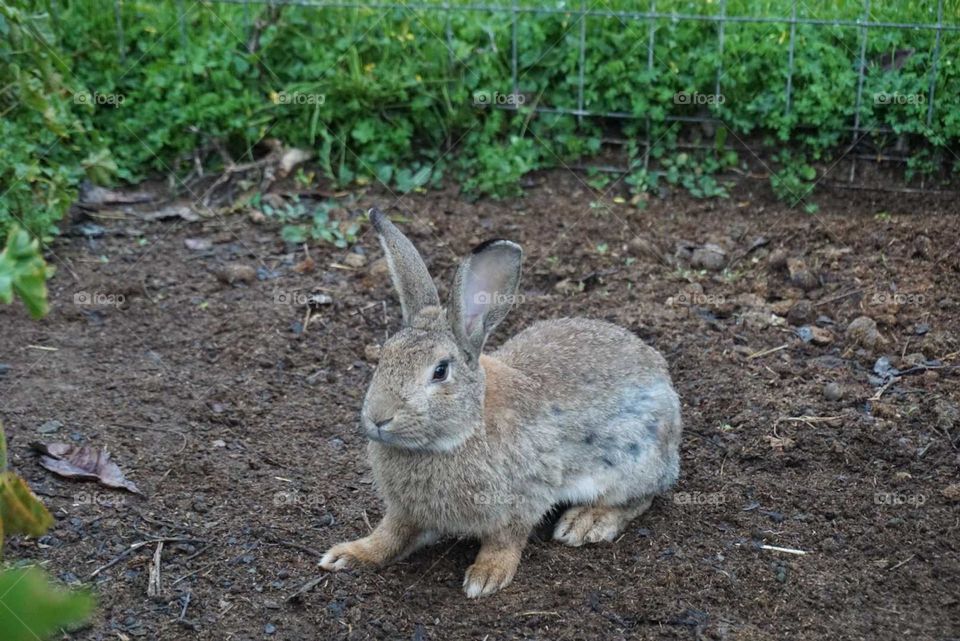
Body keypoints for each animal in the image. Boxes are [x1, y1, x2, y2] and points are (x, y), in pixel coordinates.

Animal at [322, 208, 684, 596]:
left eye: (440, 371)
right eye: (384, 356)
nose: (378, 418)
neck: (462, 430)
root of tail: (663, 379)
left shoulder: (522, 499)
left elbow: (505, 540)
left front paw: (486, 576)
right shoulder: (406, 511)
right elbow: (390, 535)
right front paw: (348, 555)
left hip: (632, 459)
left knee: (640, 497)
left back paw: (586, 522)